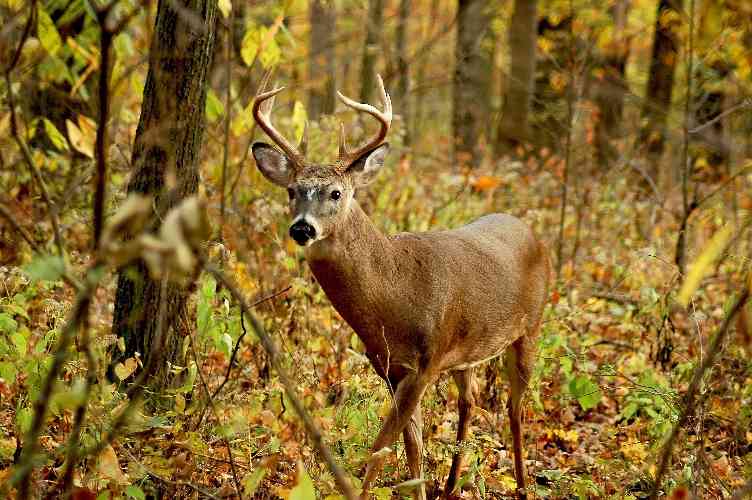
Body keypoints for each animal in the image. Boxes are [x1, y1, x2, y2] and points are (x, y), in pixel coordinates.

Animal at [250, 75, 548, 500]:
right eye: (292, 191)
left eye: (336, 193)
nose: (302, 228)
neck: (395, 297)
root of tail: (532, 232)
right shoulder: (390, 367)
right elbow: (412, 446)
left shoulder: (426, 362)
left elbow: (381, 446)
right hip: (467, 350)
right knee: (470, 401)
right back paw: (451, 486)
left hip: (530, 327)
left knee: (514, 405)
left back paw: (523, 486)